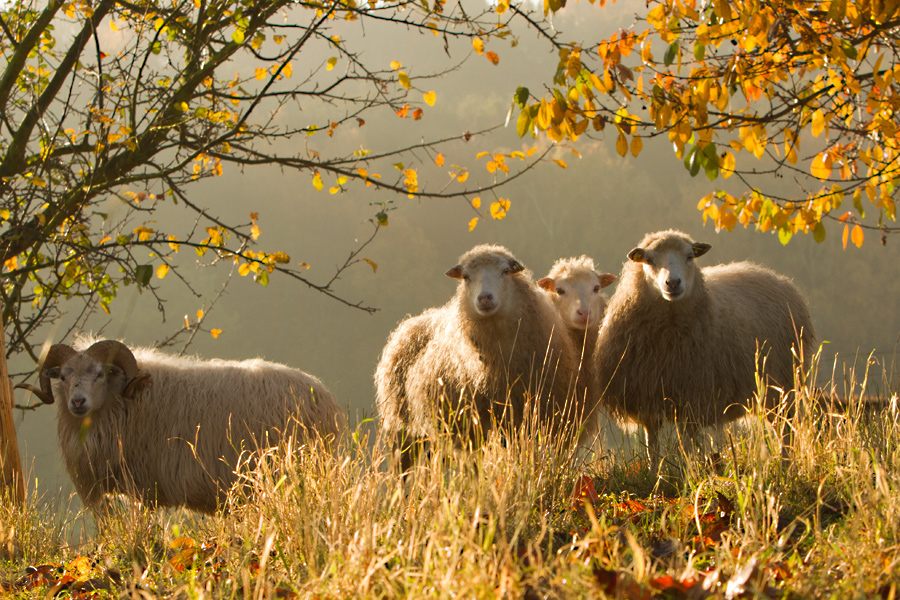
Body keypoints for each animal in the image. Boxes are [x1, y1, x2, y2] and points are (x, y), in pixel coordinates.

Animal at [22, 338, 344, 516]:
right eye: (63, 377)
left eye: (100, 374)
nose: (77, 402)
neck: (123, 400)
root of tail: (325, 398)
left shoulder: (143, 484)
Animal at [374, 244, 592, 468]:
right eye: (466, 277)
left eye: (505, 271)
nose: (484, 298)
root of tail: (405, 326)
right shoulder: (478, 426)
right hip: (401, 429)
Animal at [596, 230, 820, 468]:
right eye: (649, 260)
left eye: (689, 256)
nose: (673, 283)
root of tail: (780, 280)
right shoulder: (646, 396)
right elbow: (652, 444)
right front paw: (654, 471)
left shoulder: (693, 397)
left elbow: (687, 444)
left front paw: (689, 469)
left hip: (783, 387)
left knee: (786, 432)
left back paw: (785, 465)